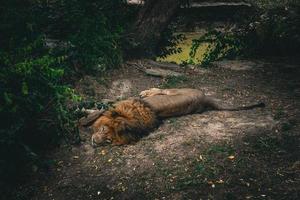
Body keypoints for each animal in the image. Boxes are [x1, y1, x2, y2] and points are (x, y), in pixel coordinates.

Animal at [90, 88, 264, 146]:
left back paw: (146, 92)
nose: (94, 141)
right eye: (103, 129)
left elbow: (96, 110)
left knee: (161, 89)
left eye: (108, 139)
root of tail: (205, 97)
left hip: (174, 90)